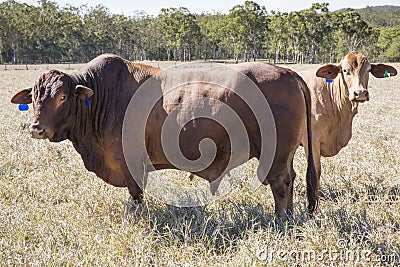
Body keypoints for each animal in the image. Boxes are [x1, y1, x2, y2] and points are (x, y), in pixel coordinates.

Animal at [10, 54, 318, 220]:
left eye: (62, 97)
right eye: (34, 97)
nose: (36, 128)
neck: (101, 97)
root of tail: (286, 71)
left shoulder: (130, 164)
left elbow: (136, 195)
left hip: (275, 154)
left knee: (280, 182)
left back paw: (281, 220)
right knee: (290, 179)